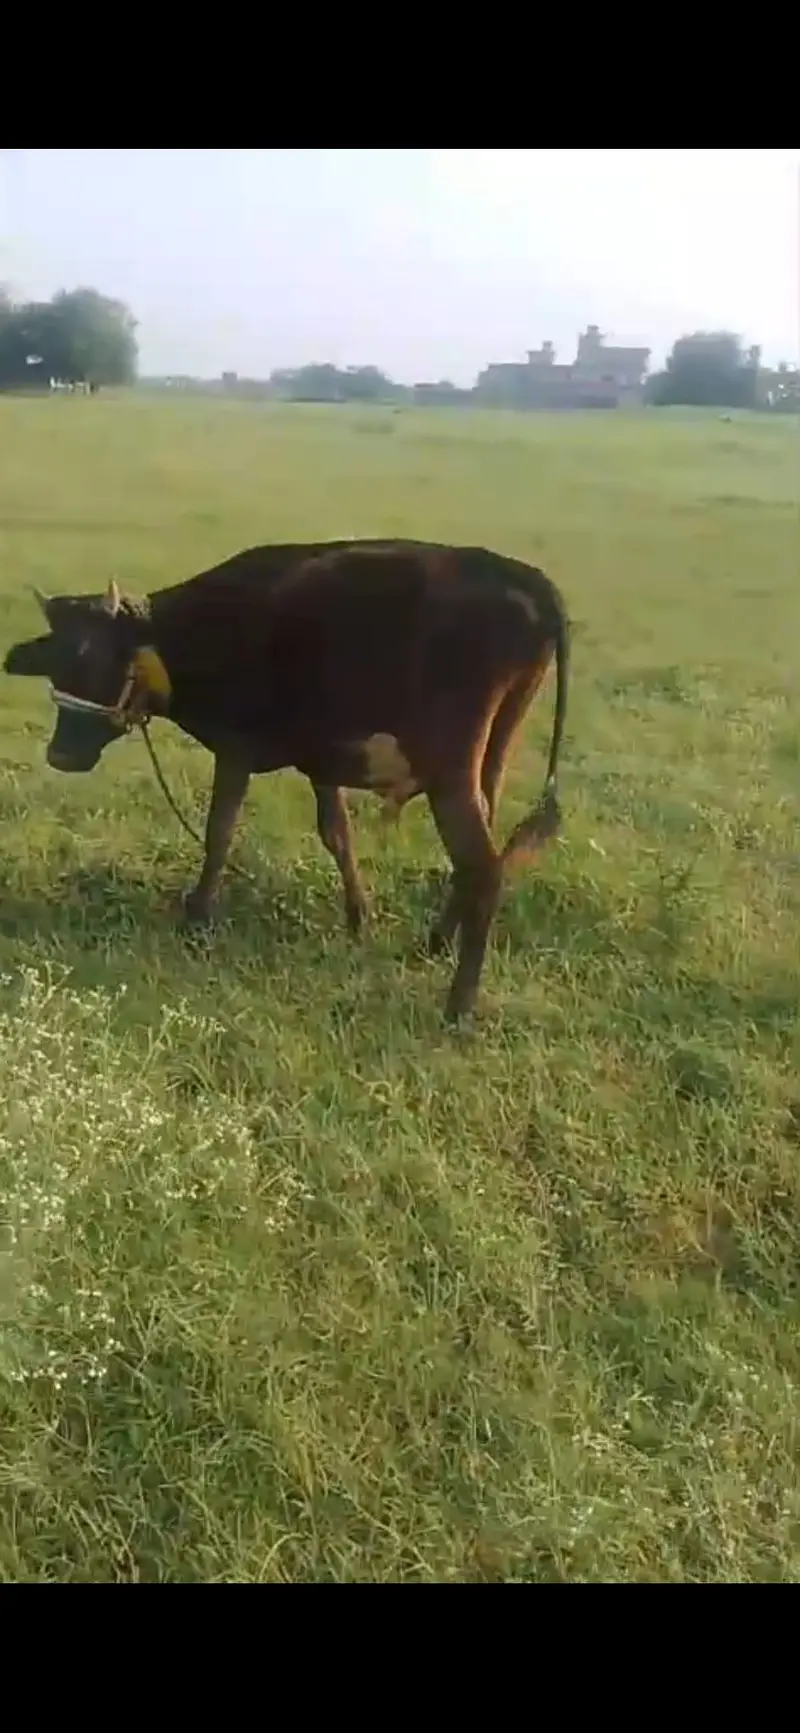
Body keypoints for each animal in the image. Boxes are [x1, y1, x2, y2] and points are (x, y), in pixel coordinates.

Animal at [3, 539, 569, 1021]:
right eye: (56, 661)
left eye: (101, 658)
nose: (61, 755)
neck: (194, 632)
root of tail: (519, 573)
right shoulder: (322, 760)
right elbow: (337, 835)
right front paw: (359, 917)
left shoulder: (235, 748)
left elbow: (219, 832)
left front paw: (198, 917)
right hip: (489, 755)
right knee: (480, 855)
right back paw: (435, 942)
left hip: (450, 768)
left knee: (484, 868)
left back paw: (459, 1005)